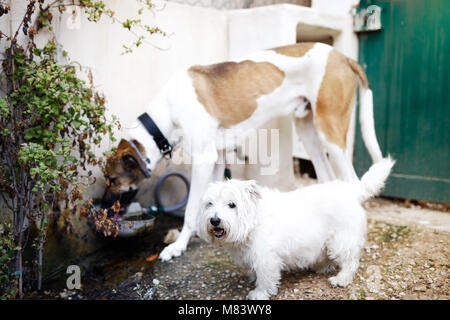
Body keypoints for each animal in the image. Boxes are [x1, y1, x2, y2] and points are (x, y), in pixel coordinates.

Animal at [100, 42, 382, 262]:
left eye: (112, 180)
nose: (102, 211)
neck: (165, 115)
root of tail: (341, 56)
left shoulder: (203, 159)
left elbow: (191, 209)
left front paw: (179, 245)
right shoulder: (217, 159)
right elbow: (208, 199)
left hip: (330, 129)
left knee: (353, 182)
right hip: (308, 132)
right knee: (326, 177)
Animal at [197, 158, 394, 300]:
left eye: (232, 204)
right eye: (209, 204)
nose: (215, 220)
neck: (252, 223)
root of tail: (352, 191)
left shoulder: (266, 259)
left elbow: (265, 279)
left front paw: (259, 293)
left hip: (342, 240)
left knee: (350, 261)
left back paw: (341, 279)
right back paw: (321, 267)